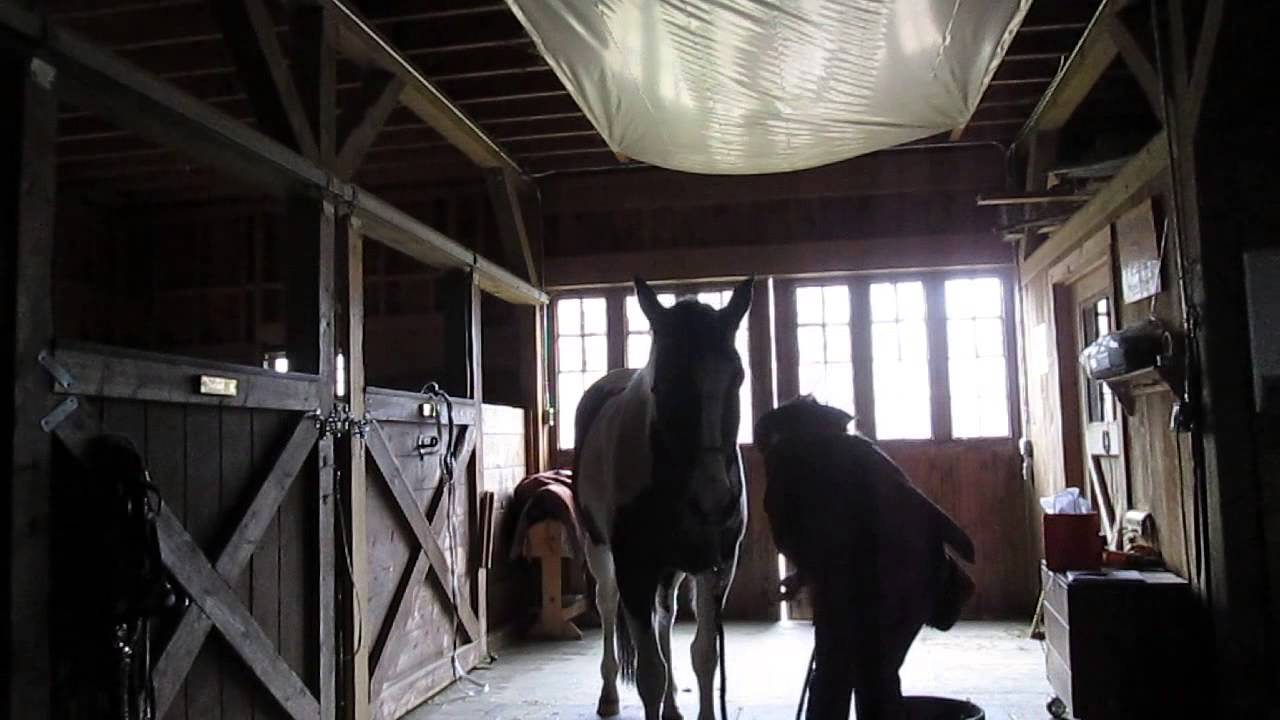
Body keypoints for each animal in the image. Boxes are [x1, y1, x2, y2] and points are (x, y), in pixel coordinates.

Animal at [573, 276, 752, 720]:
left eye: (738, 376)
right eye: (663, 382)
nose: (714, 500)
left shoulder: (718, 565)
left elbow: (705, 655)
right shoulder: (634, 567)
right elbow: (650, 675)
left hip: (671, 569)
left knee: (664, 618)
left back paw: (672, 705)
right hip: (599, 550)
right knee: (607, 605)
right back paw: (608, 695)